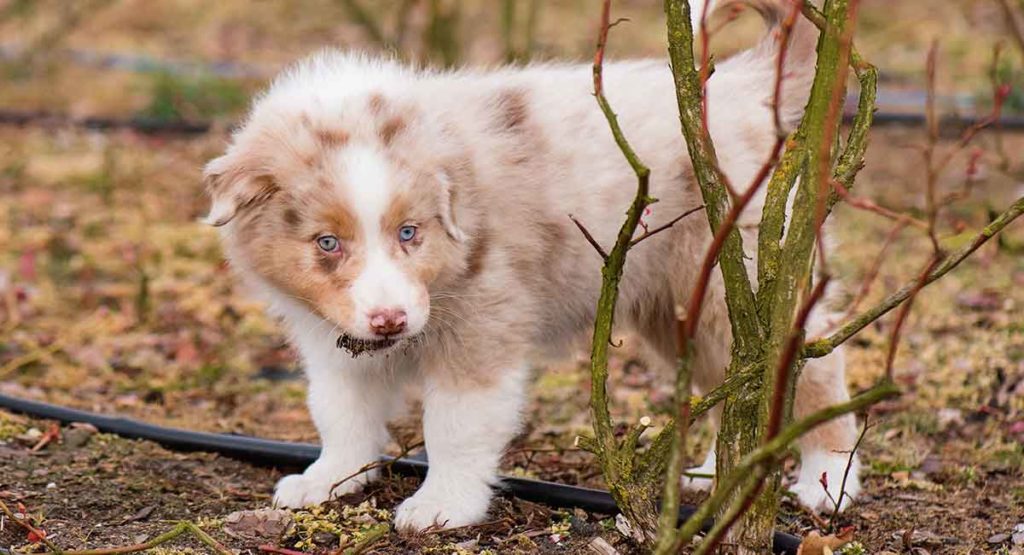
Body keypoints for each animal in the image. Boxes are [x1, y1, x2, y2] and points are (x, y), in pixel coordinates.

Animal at [207, 0, 864, 532]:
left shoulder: (483, 324)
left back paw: (826, 482)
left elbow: (455, 425)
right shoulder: (333, 336)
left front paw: (441, 506)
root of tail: (742, 85)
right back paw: (716, 473)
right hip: (688, 300)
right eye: (327, 243)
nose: (390, 321)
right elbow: (339, 410)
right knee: (741, 380)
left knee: (812, 372)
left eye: (409, 233)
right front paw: (329, 479)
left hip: (735, 277)